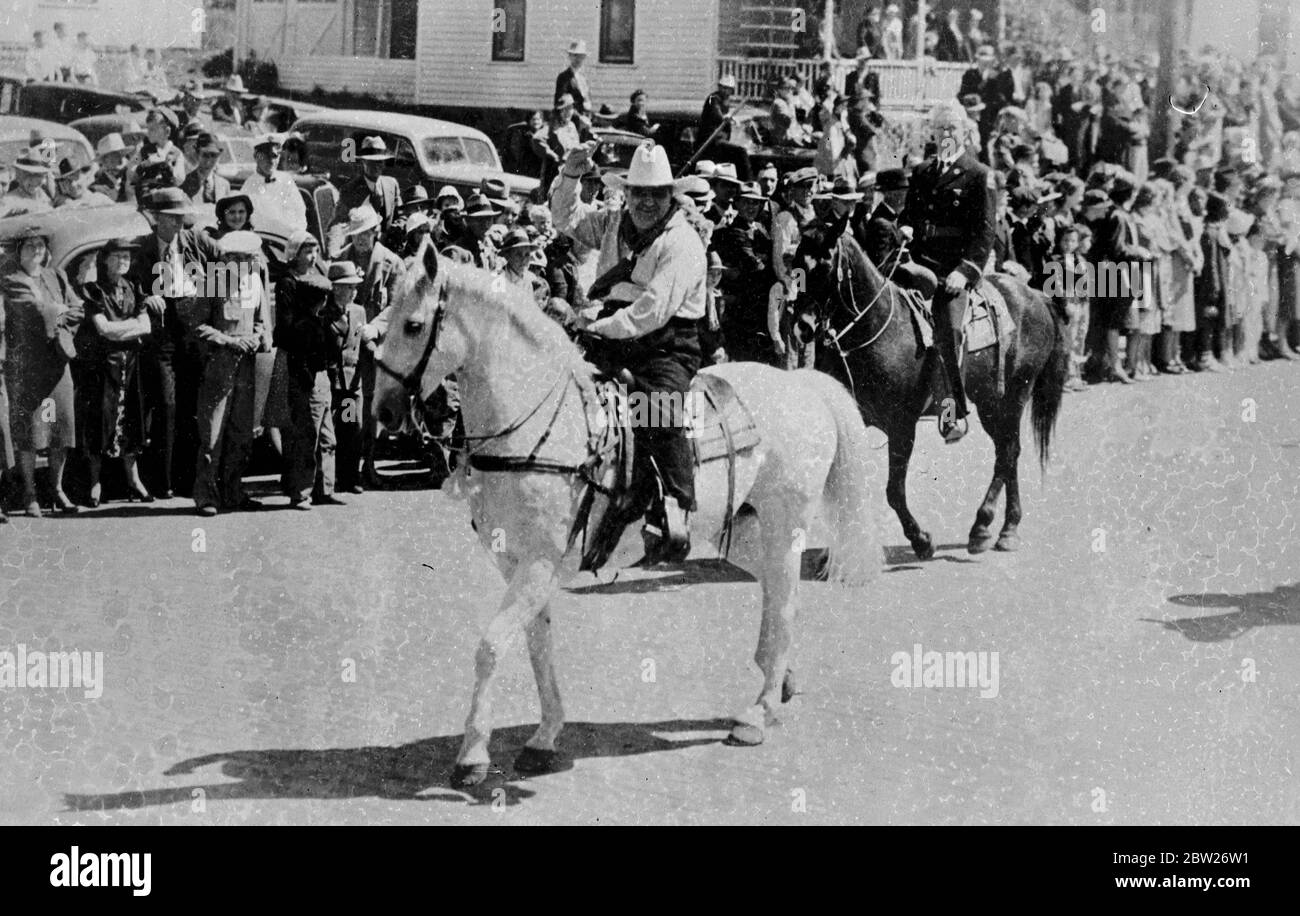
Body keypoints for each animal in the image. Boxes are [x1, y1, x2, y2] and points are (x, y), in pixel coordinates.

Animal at [377, 242, 883, 784]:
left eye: (413, 325)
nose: (384, 411)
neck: (541, 427)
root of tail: (803, 384)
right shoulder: (516, 566)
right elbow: (537, 646)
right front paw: (544, 736)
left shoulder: (538, 563)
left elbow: (491, 647)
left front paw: (472, 756)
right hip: (742, 532)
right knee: (775, 589)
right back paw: (780, 678)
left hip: (785, 524)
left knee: (784, 600)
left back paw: (757, 713)